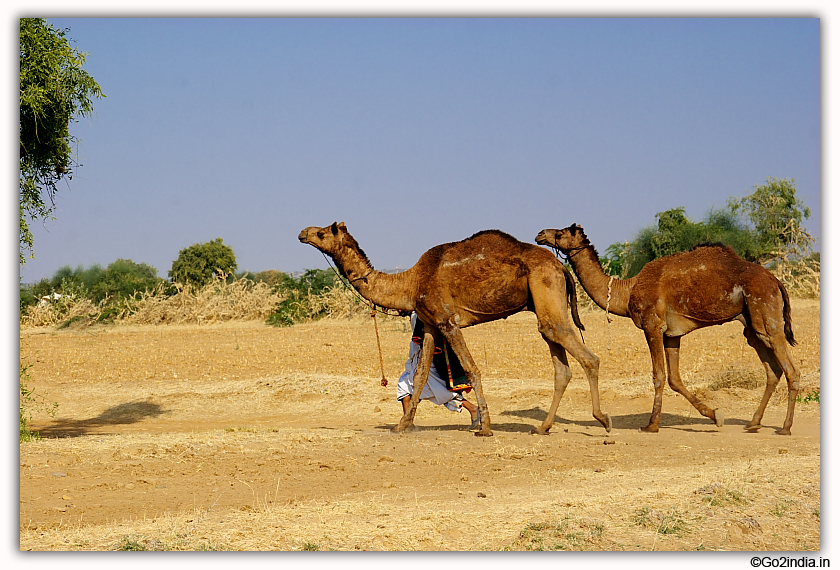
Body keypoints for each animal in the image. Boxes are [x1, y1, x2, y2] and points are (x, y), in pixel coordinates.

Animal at [298, 222, 612, 434]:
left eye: (323, 233)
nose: (303, 233)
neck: (410, 282)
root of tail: (562, 268)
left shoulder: (448, 322)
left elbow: (472, 369)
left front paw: (485, 427)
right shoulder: (429, 324)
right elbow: (420, 375)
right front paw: (403, 424)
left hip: (546, 288)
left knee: (588, 357)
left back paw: (603, 419)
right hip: (542, 304)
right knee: (560, 362)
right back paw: (542, 427)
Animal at [536, 223, 804, 434]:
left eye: (561, 232)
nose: (540, 234)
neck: (628, 290)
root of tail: (776, 281)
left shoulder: (652, 326)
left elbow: (659, 376)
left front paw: (651, 424)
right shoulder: (672, 335)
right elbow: (675, 378)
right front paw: (715, 415)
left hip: (766, 312)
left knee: (791, 369)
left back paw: (785, 427)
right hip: (752, 325)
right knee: (772, 370)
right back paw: (753, 423)